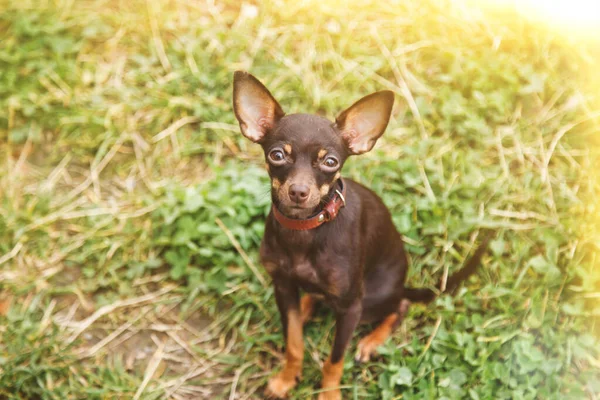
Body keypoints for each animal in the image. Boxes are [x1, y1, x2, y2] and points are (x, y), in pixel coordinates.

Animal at [232, 70, 490, 398]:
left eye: (330, 162)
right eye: (277, 155)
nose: (299, 192)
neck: (306, 230)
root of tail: (402, 284)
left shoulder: (351, 308)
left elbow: (334, 360)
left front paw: (329, 394)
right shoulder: (283, 287)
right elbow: (294, 343)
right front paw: (287, 378)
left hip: (371, 301)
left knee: (401, 306)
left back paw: (371, 341)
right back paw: (306, 308)